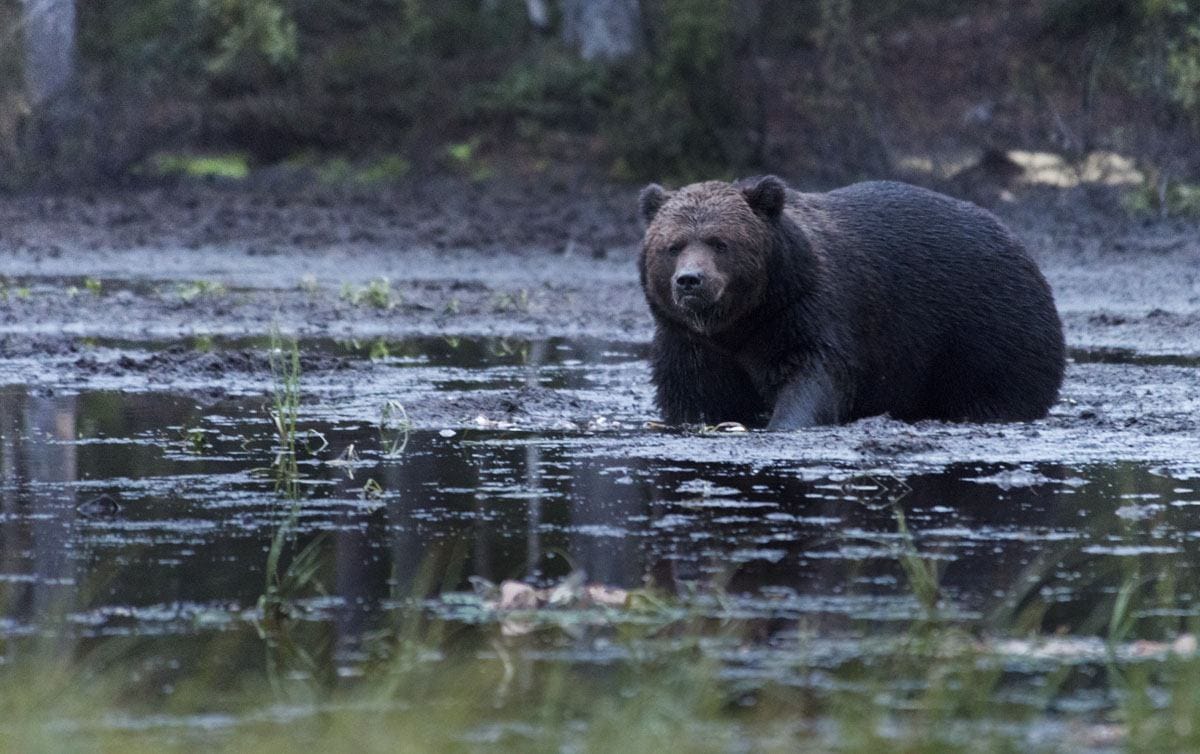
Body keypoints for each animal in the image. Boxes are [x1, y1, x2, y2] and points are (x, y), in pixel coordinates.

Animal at [643, 172, 1065, 427]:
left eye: (720, 242)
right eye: (673, 246)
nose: (690, 281)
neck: (742, 322)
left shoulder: (806, 311)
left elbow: (814, 376)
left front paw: (785, 421)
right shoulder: (690, 343)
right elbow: (692, 395)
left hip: (987, 330)